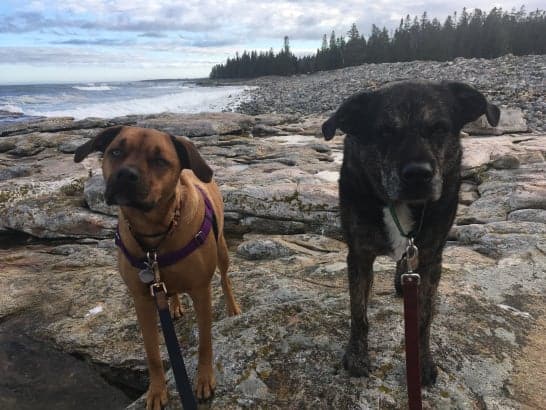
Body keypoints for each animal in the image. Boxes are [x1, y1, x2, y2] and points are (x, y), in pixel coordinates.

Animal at [74, 125, 240, 410]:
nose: (126, 174)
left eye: (160, 161)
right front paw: (157, 391)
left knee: (225, 280)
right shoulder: (141, 299)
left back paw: (232, 307)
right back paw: (173, 305)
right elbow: (152, 351)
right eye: (115, 152)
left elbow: (205, 342)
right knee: (171, 292)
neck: (155, 233)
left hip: (222, 251)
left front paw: (204, 379)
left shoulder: (201, 291)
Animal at [320, 81, 500, 384]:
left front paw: (422, 362)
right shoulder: (359, 254)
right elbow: (358, 312)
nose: (418, 174)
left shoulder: (430, 257)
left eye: (439, 128)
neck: (400, 205)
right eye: (384, 132)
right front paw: (357, 355)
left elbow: (424, 319)